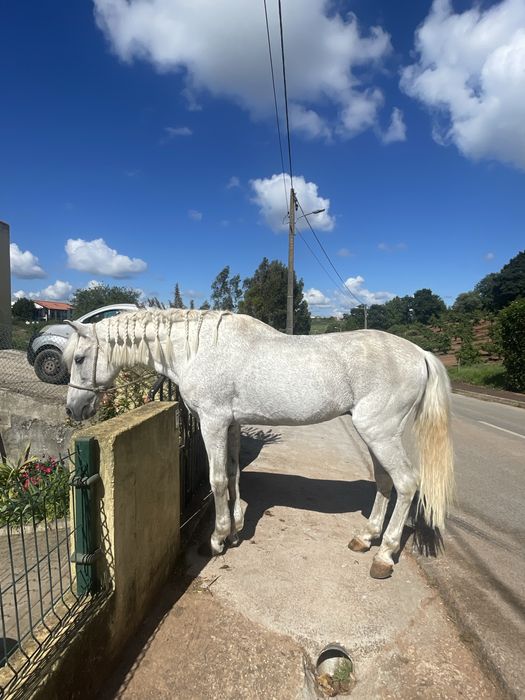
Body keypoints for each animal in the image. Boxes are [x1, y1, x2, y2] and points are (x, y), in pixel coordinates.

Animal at [64, 308, 454, 579]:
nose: (73, 408)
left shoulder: (213, 421)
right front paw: (236, 528)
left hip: (380, 432)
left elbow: (218, 479)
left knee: (406, 483)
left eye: (79, 358)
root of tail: (420, 353)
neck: (198, 349)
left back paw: (384, 555)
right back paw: (366, 537)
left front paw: (218, 538)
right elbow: (234, 472)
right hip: (375, 435)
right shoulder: (233, 423)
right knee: (386, 481)